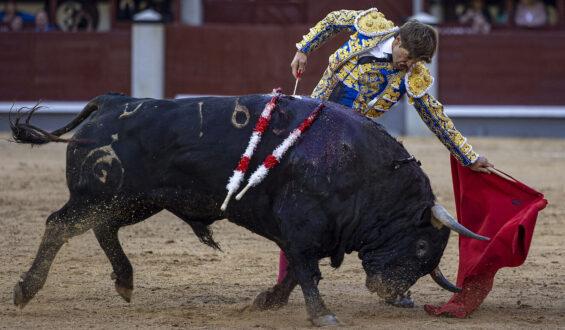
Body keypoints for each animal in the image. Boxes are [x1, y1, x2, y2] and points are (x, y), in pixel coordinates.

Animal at [8, 94, 484, 326]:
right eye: (421, 247)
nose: (391, 292)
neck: (360, 167)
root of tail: (109, 101)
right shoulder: (302, 227)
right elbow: (305, 270)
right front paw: (322, 315)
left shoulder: (305, 232)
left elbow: (294, 272)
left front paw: (267, 302)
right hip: (99, 196)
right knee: (58, 226)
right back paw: (25, 290)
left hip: (134, 201)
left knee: (102, 230)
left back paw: (125, 282)